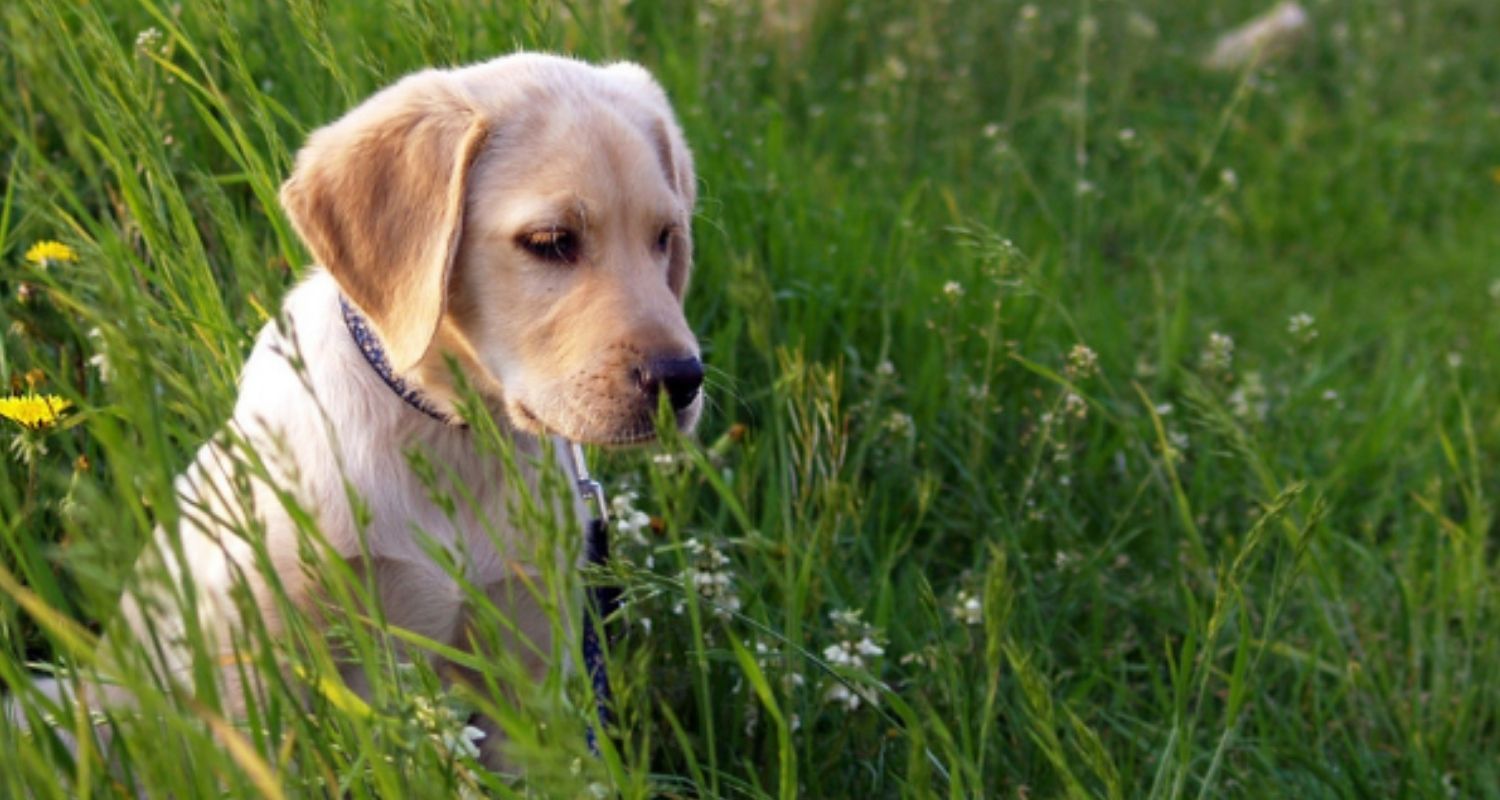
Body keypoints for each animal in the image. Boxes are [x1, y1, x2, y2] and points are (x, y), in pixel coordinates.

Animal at [14, 52, 702, 765]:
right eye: (551, 241)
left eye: (664, 238)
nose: (682, 380)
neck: (451, 434)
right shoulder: (259, 663)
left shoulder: (529, 674)